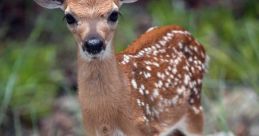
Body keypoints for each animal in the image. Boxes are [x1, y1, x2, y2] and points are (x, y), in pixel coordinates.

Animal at [35, 0, 207, 135]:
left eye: (114, 14)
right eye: (69, 17)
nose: (93, 44)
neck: (105, 117)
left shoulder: (143, 128)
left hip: (194, 107)